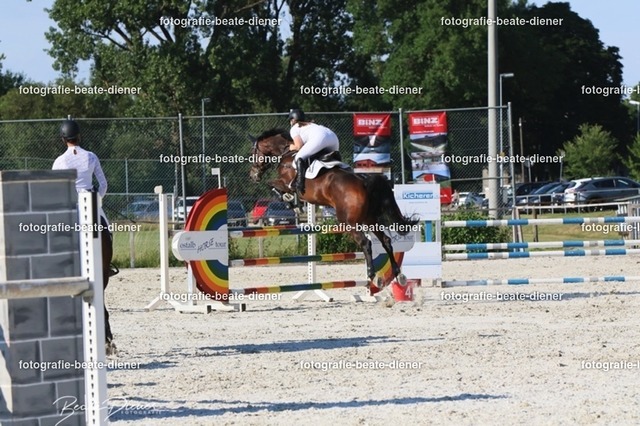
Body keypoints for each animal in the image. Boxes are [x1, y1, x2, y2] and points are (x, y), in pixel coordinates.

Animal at [248, 128, 418, 286]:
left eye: (253, 153)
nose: (253, 176)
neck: (286, 153)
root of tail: (364, 181)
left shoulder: (286, 183)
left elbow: (272, 185)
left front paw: (290, 201)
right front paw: (294, 204)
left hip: (350, 222)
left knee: (366, 243)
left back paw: (373, 276)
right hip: (370, 219)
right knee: (386, 241)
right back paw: (398, 274)